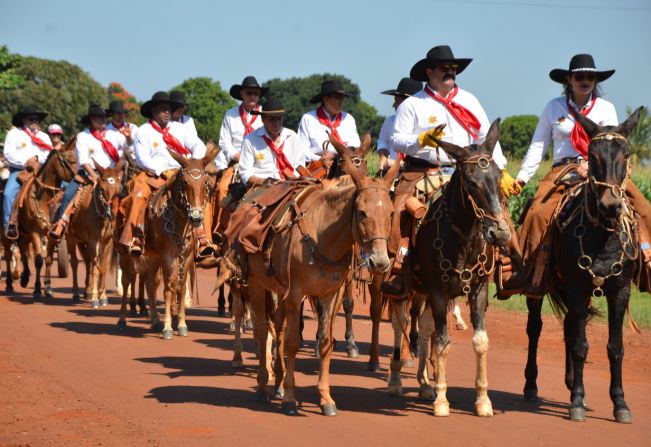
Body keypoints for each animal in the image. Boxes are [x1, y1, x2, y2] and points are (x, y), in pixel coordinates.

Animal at [66, 160, 126, 308]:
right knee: (75, 263)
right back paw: (76, 293)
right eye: (102, 189)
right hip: (71, 238)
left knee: (88, 262)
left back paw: (87, 291)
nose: (112, 212)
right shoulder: (93, 242)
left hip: (82, 241)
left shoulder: (108, 242)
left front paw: (102, 296)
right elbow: (95, 269)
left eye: (119, 188)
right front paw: (95, 299)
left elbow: (102, 268)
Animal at [117, 147, 219, 336]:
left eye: (206, 182)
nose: (196, 217)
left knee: (150, 283)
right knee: (127, 281)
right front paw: (167, 327)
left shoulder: (186, 255)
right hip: (125, 252)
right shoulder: (167, 255)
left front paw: (181, 324)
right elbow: (168, 287)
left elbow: (181, 286)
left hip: (153, 256)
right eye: (185, 182)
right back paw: (122, 320)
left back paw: (155, 320)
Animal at [227, 138, 400, 418]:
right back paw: (264, 385)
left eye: (392, 213)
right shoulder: (295, 293)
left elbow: (325, 342)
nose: (380, 261)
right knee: (263, 330)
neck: (323, 235)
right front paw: (289, 398)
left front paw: (325, 398)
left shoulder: (331, 294)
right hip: (255, 285)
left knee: (276, 327)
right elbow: (292, 343)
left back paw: (276, 381)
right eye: (362, 212)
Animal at [524, 108, 648, 424]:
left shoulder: (620, 291)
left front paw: (620, 404)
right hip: (540, 289)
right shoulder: (577, 287)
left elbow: (615, 348)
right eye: (592, 155)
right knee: (535, 328)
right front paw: (578, 402)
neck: (602, 233)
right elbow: (581, 345)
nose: (610, 205)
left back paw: (570, 382)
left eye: (626, 154)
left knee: (569, 325)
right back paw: (531, 385)